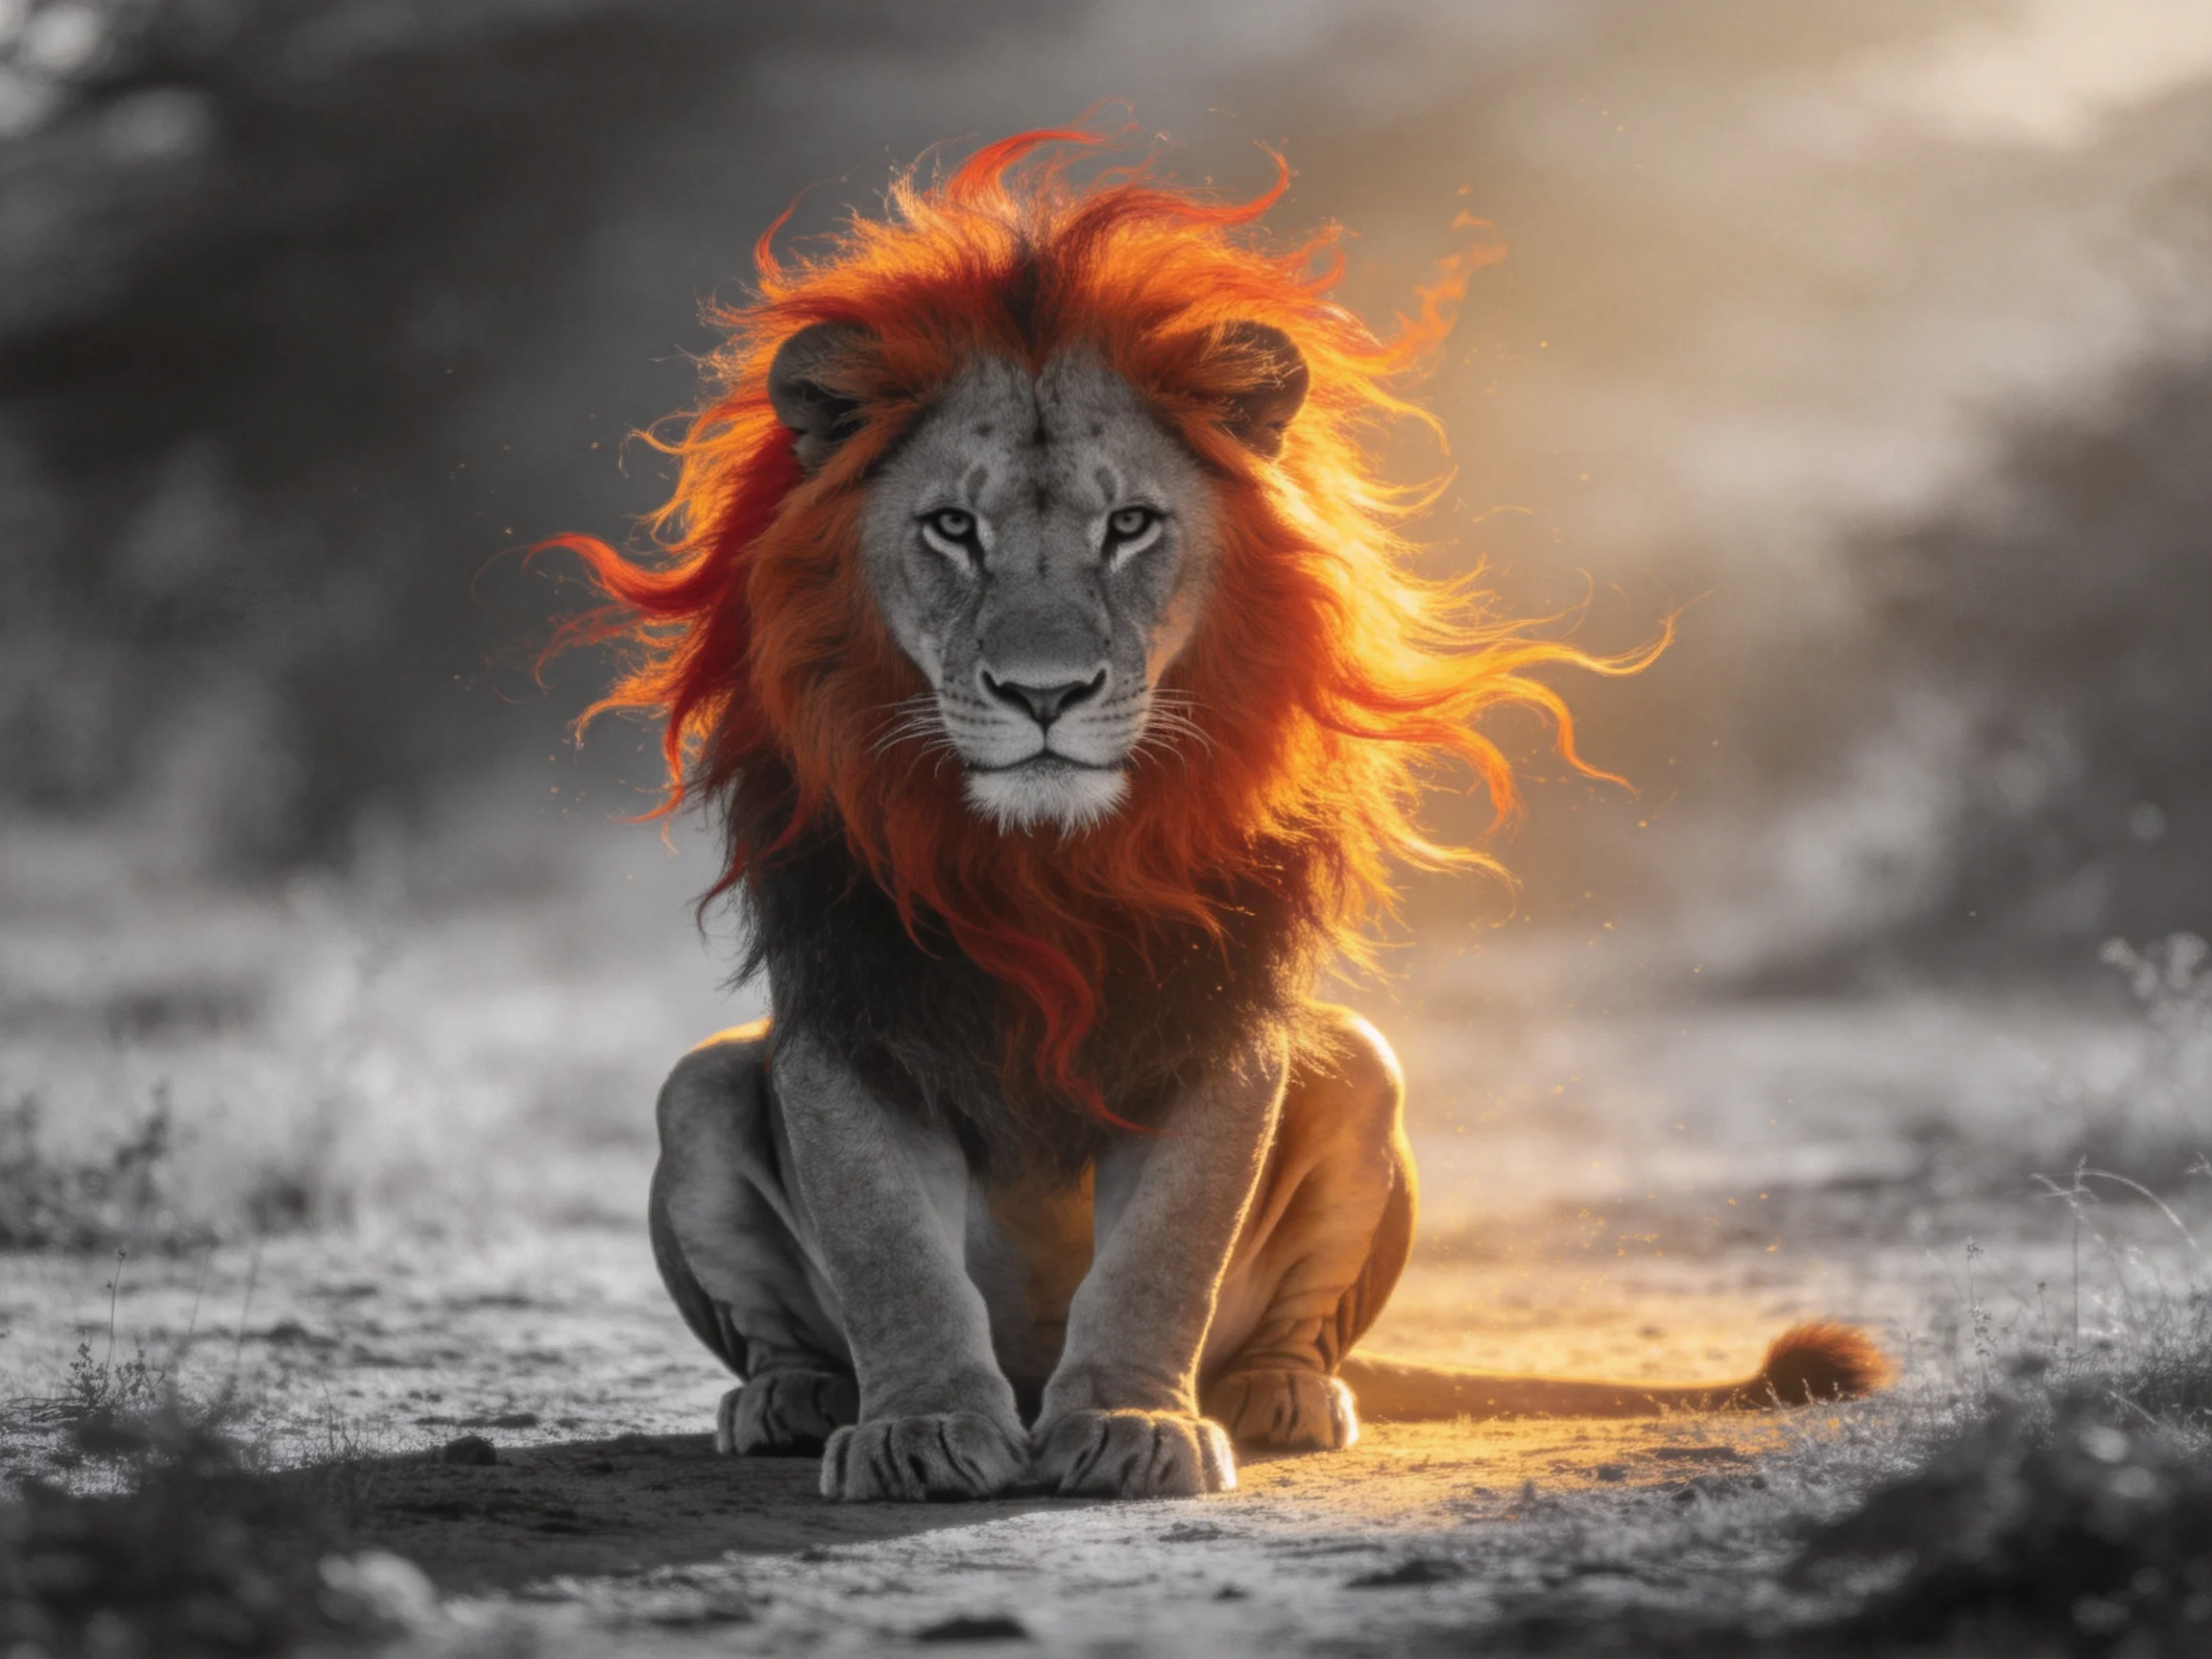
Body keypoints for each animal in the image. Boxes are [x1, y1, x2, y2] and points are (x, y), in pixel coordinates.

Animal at [548, 128, 1888, 1503]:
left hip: (1357, 1059)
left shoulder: (1217, 1015)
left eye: (1130, 525)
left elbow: (1162, 1253)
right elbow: (893, 1258)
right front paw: (918, 1428)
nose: (1044, 693)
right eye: (953, 527)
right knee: (772, 1280)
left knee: (1292, 1310)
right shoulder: (853, 1010)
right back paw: (797, 1397)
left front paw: (1135, 1423)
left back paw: (1277, 1395)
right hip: (702, 1086)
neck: (1043, 864)